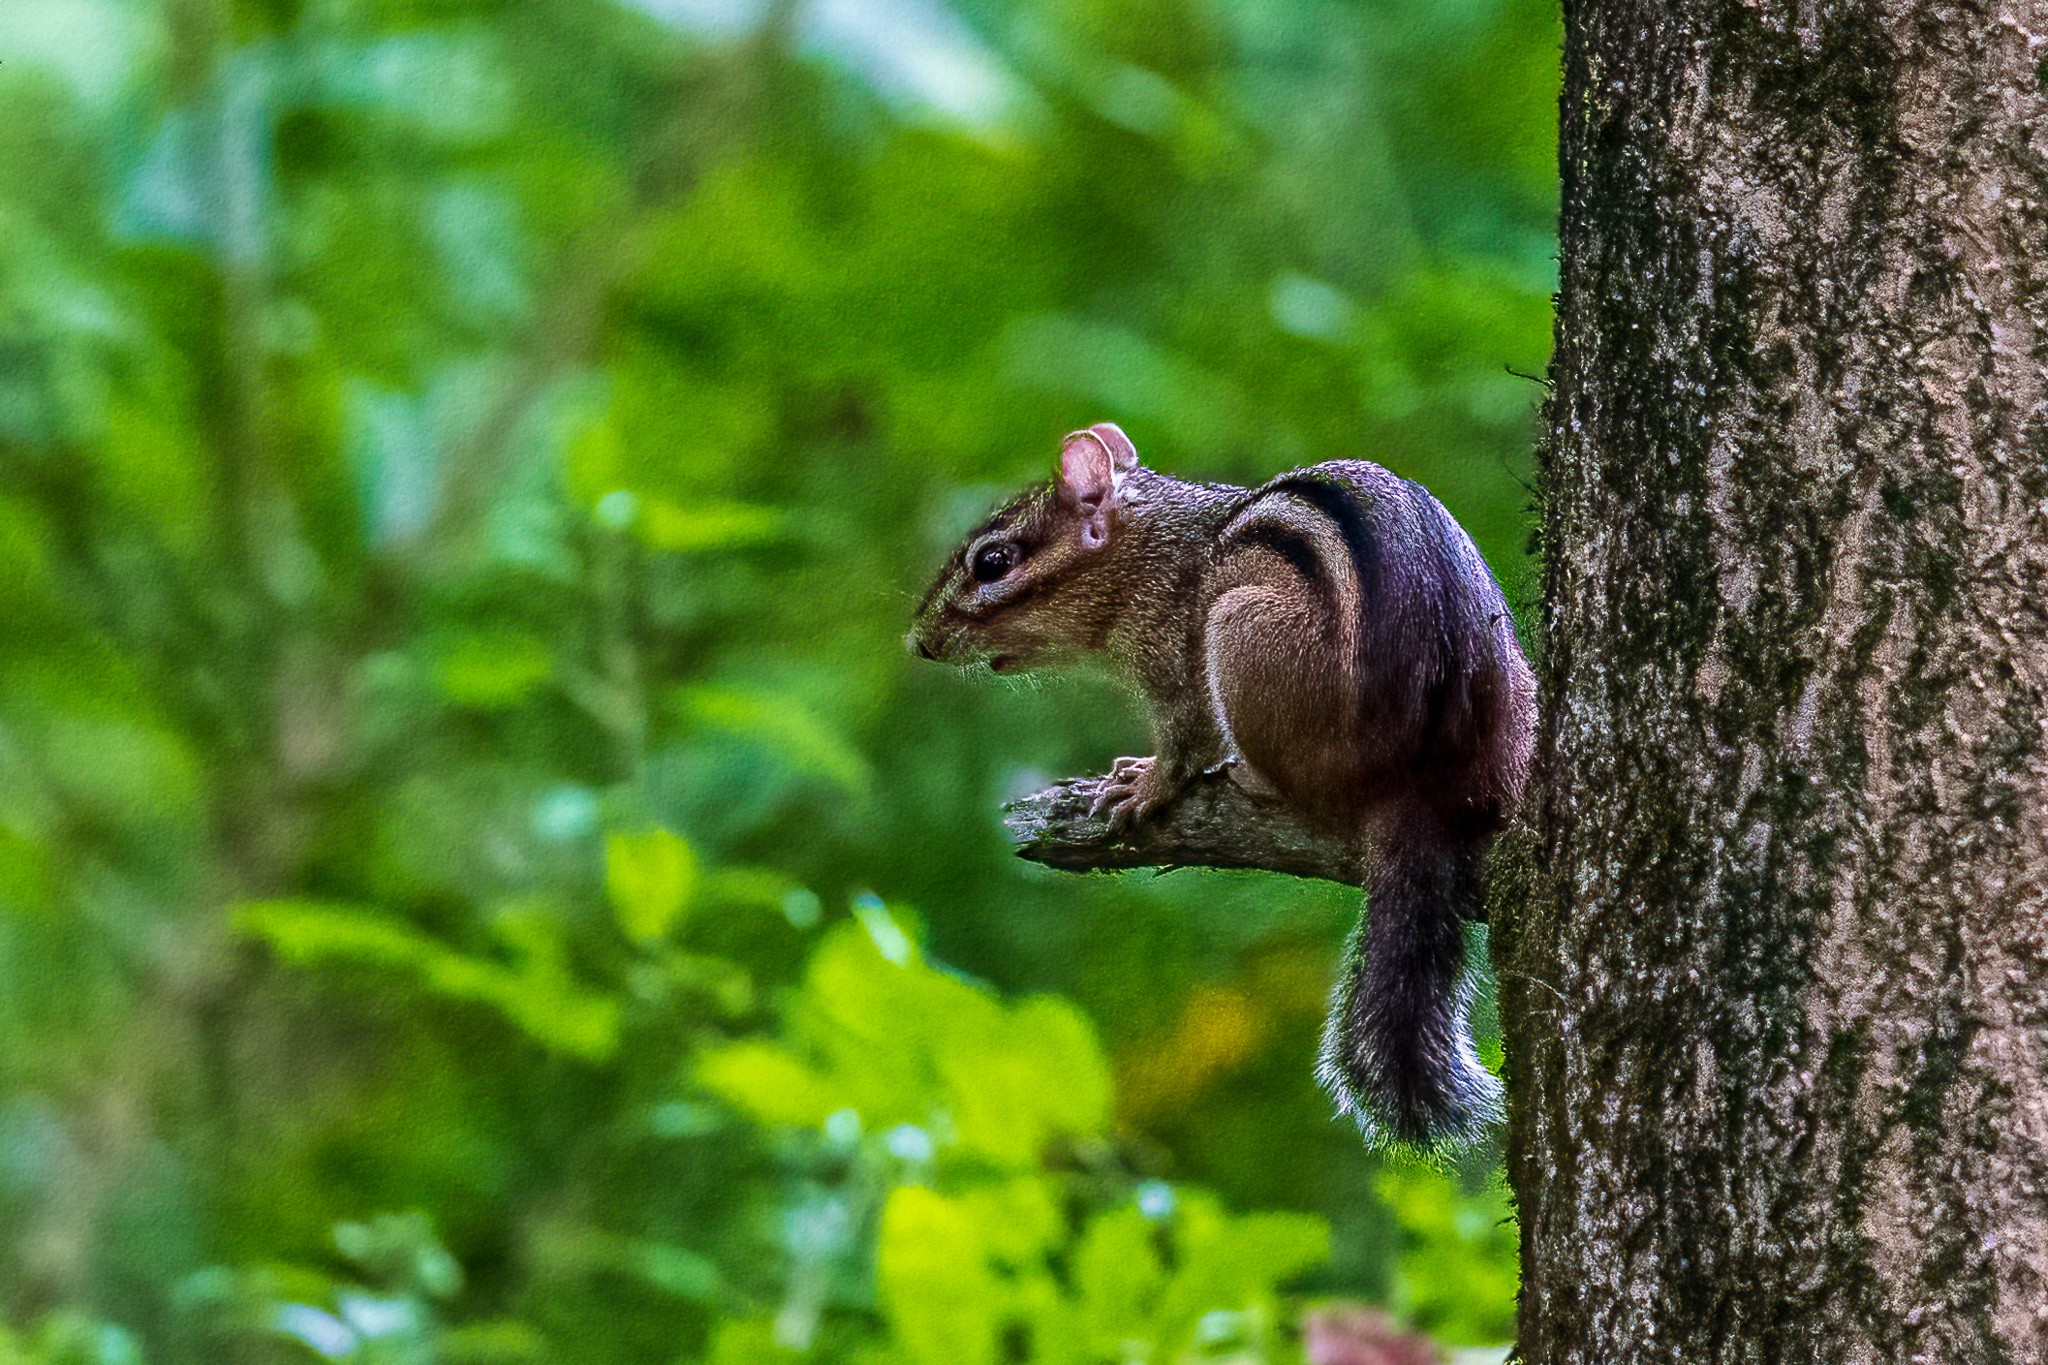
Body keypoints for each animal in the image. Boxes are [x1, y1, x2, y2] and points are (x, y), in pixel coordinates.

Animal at [908, 423, 1536, 1147]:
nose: (919, 641)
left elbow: (1190, 739)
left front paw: (1145, 785)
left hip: (1241, 629)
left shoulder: (1172, 645)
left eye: (992, 561)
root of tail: (1426, 786)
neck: (1153, 548)